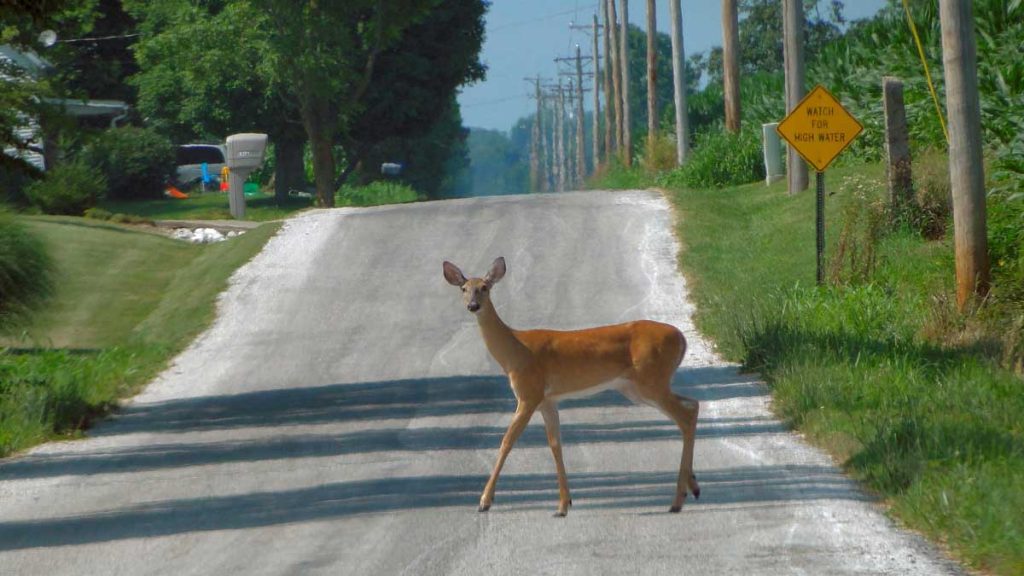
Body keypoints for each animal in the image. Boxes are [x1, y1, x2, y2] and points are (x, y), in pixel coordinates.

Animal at [443, 257, 699, 517]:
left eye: (484, 287)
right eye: (463, 289)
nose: (473, 306)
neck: (515, 353)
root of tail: (681, 338)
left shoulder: (529, 393)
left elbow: (506, 442)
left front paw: (484, 501)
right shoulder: (548, 400)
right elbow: (555, 444)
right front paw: (563, 505)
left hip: (651, 380)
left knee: (685, 415)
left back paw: (678, 499)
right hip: (640, 387)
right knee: (693, 404)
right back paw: (692, 487)